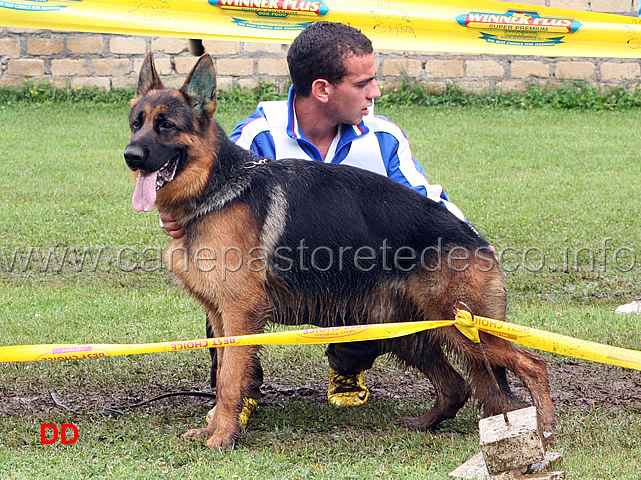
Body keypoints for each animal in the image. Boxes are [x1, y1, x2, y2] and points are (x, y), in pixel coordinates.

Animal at [125, 53, 556, 450]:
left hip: (466, 329)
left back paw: (546, 428)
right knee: (457, 386)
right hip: (408, 333)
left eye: (166, 126)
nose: (131, 156)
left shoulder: (239, 315)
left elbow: (230, 380)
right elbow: (225, 378)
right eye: (136, 123)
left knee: (534, 364)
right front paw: (216, 429)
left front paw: (223, 438)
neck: (214, 186)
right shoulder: (219, 317)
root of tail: (475, 239)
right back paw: (425, 424)